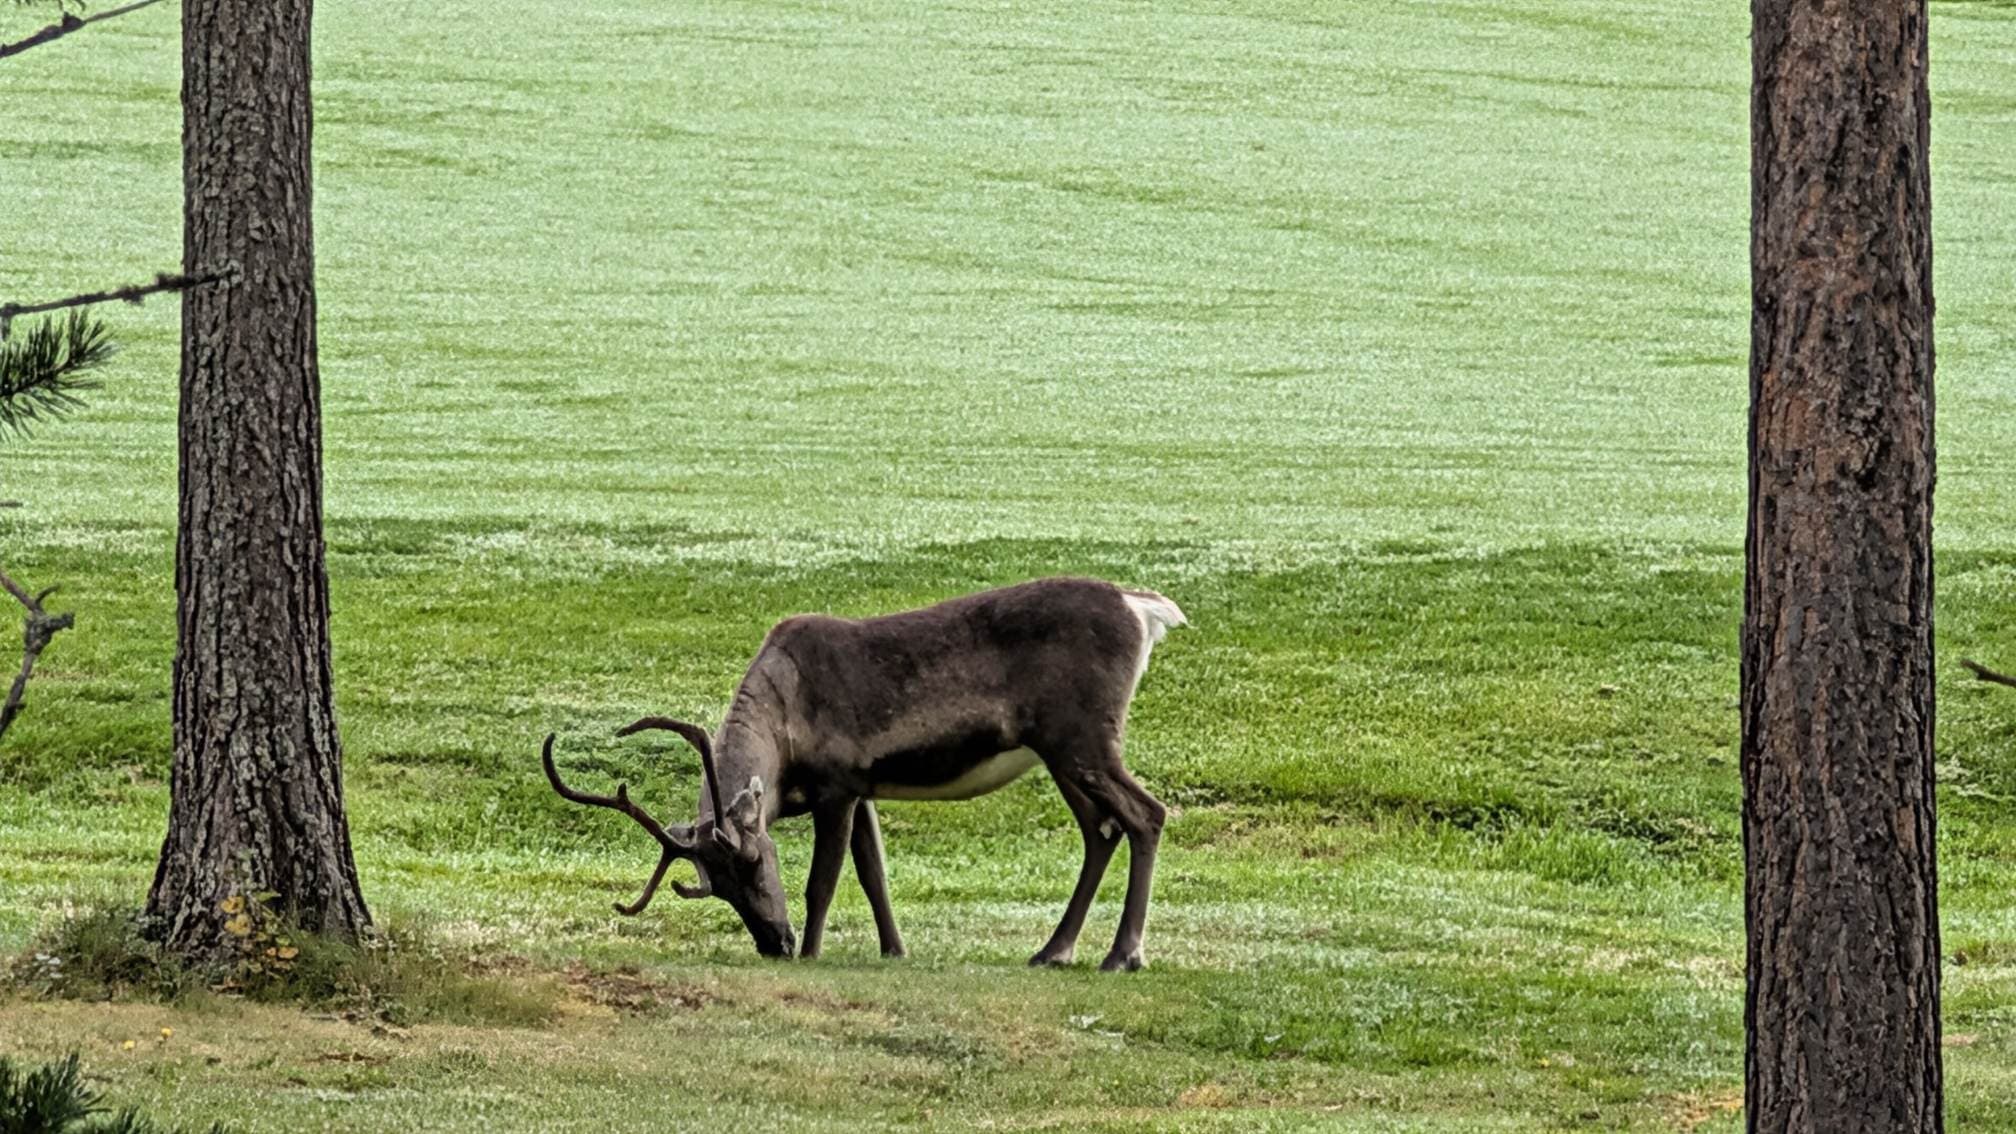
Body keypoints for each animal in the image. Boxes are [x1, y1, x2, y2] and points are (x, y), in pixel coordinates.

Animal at [539, 576, 1187, 971]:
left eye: (754, 861)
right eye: (714, 886)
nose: (775, 944)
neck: (784, 732)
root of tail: (1143, 609)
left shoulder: (838, 782)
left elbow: (823, 881)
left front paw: (814, 952)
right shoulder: (865, 789)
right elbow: (874, 873)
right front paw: (894, 950)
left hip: (1084, 738)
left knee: (1146, 814)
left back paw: (1122, 954)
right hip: (1061, 752)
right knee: (1100, 830)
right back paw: (1054, 950)